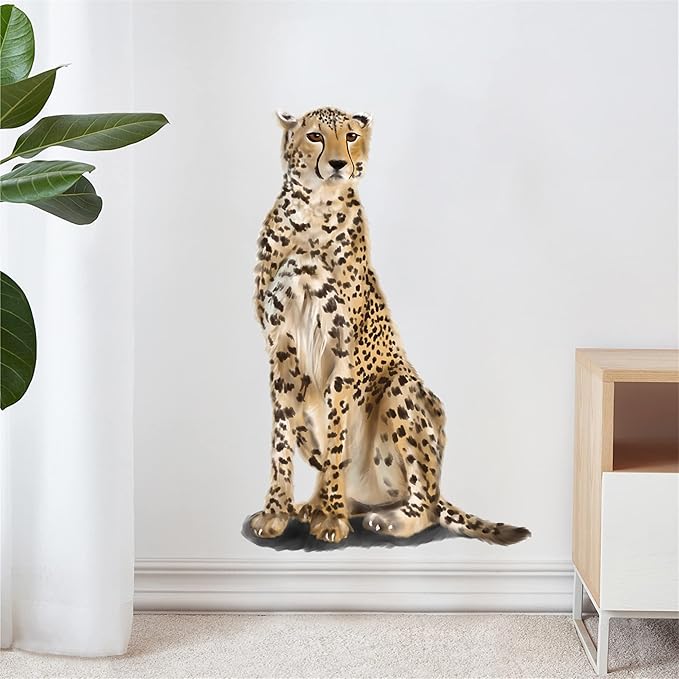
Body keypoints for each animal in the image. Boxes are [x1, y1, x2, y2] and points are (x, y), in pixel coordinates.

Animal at [250, 106, 530, 546]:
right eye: (315, 135)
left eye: (349, 136)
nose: (338, 164)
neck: (314, 213)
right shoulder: (280, 348)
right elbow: (284, 434)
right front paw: (278, 510)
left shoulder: (343, 350)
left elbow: (335, 438)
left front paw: (331, 517)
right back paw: (316, 504)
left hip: (401, 389)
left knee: (427, 504)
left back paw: (380, 517)